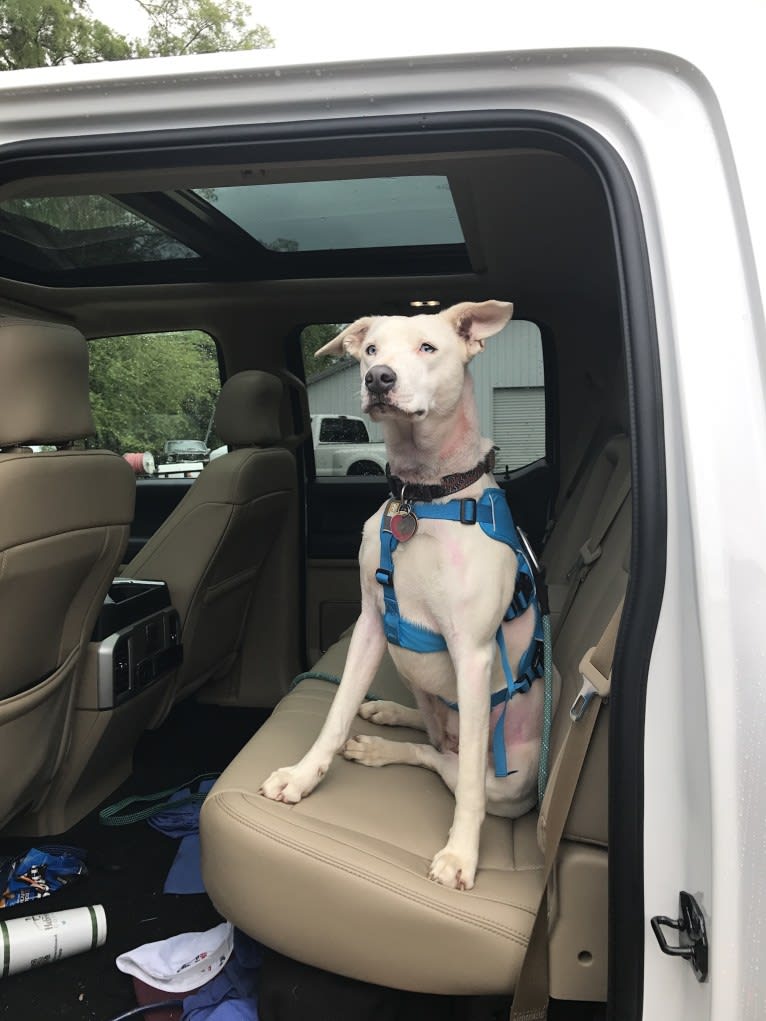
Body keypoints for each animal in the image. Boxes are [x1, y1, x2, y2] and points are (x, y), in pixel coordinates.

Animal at [263, 298, 551, 890]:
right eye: (371, 349)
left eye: (428, 347)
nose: (378, 378)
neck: (425, 495)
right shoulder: (370, 625)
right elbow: (335, 715)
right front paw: (303, 776)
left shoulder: (473, 653)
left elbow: (467, 788)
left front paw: (461, 854)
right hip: (424, 685)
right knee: (435, 733)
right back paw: (388, 717)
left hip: (510, 777)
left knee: (450, 762)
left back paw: (383, 750)